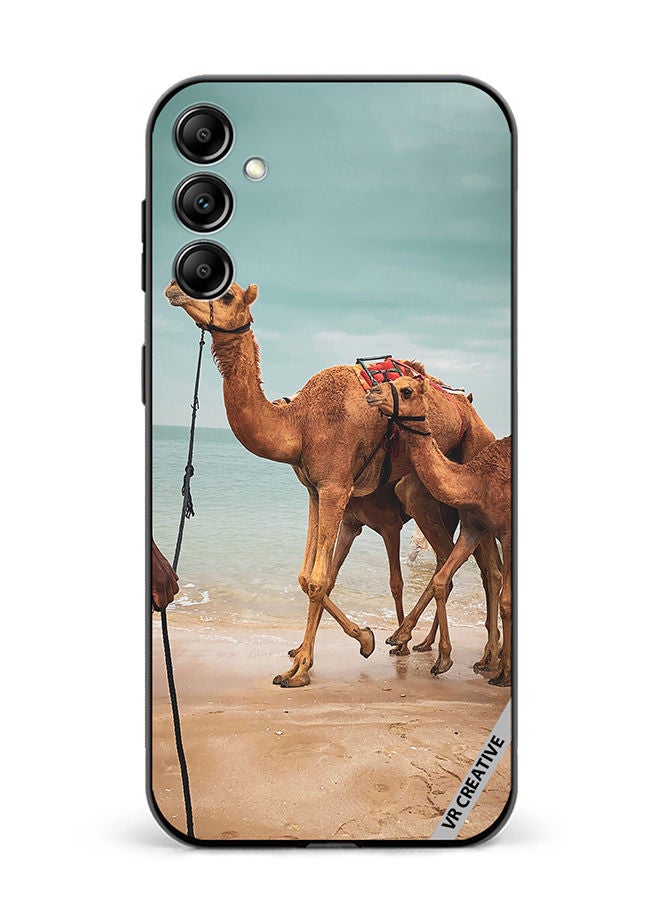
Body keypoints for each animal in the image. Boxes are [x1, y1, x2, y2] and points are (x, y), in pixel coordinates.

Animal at [365, 376, 512, 686]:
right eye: (391, 380)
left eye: (407, 390)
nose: (372, 392)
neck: (478, 480)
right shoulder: (474, 527)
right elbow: (442, 579)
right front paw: (442, 659)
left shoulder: (505, 532)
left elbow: (506, 598)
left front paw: (504, 673)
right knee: (487, 574)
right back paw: (485, 657)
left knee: (493, 576)